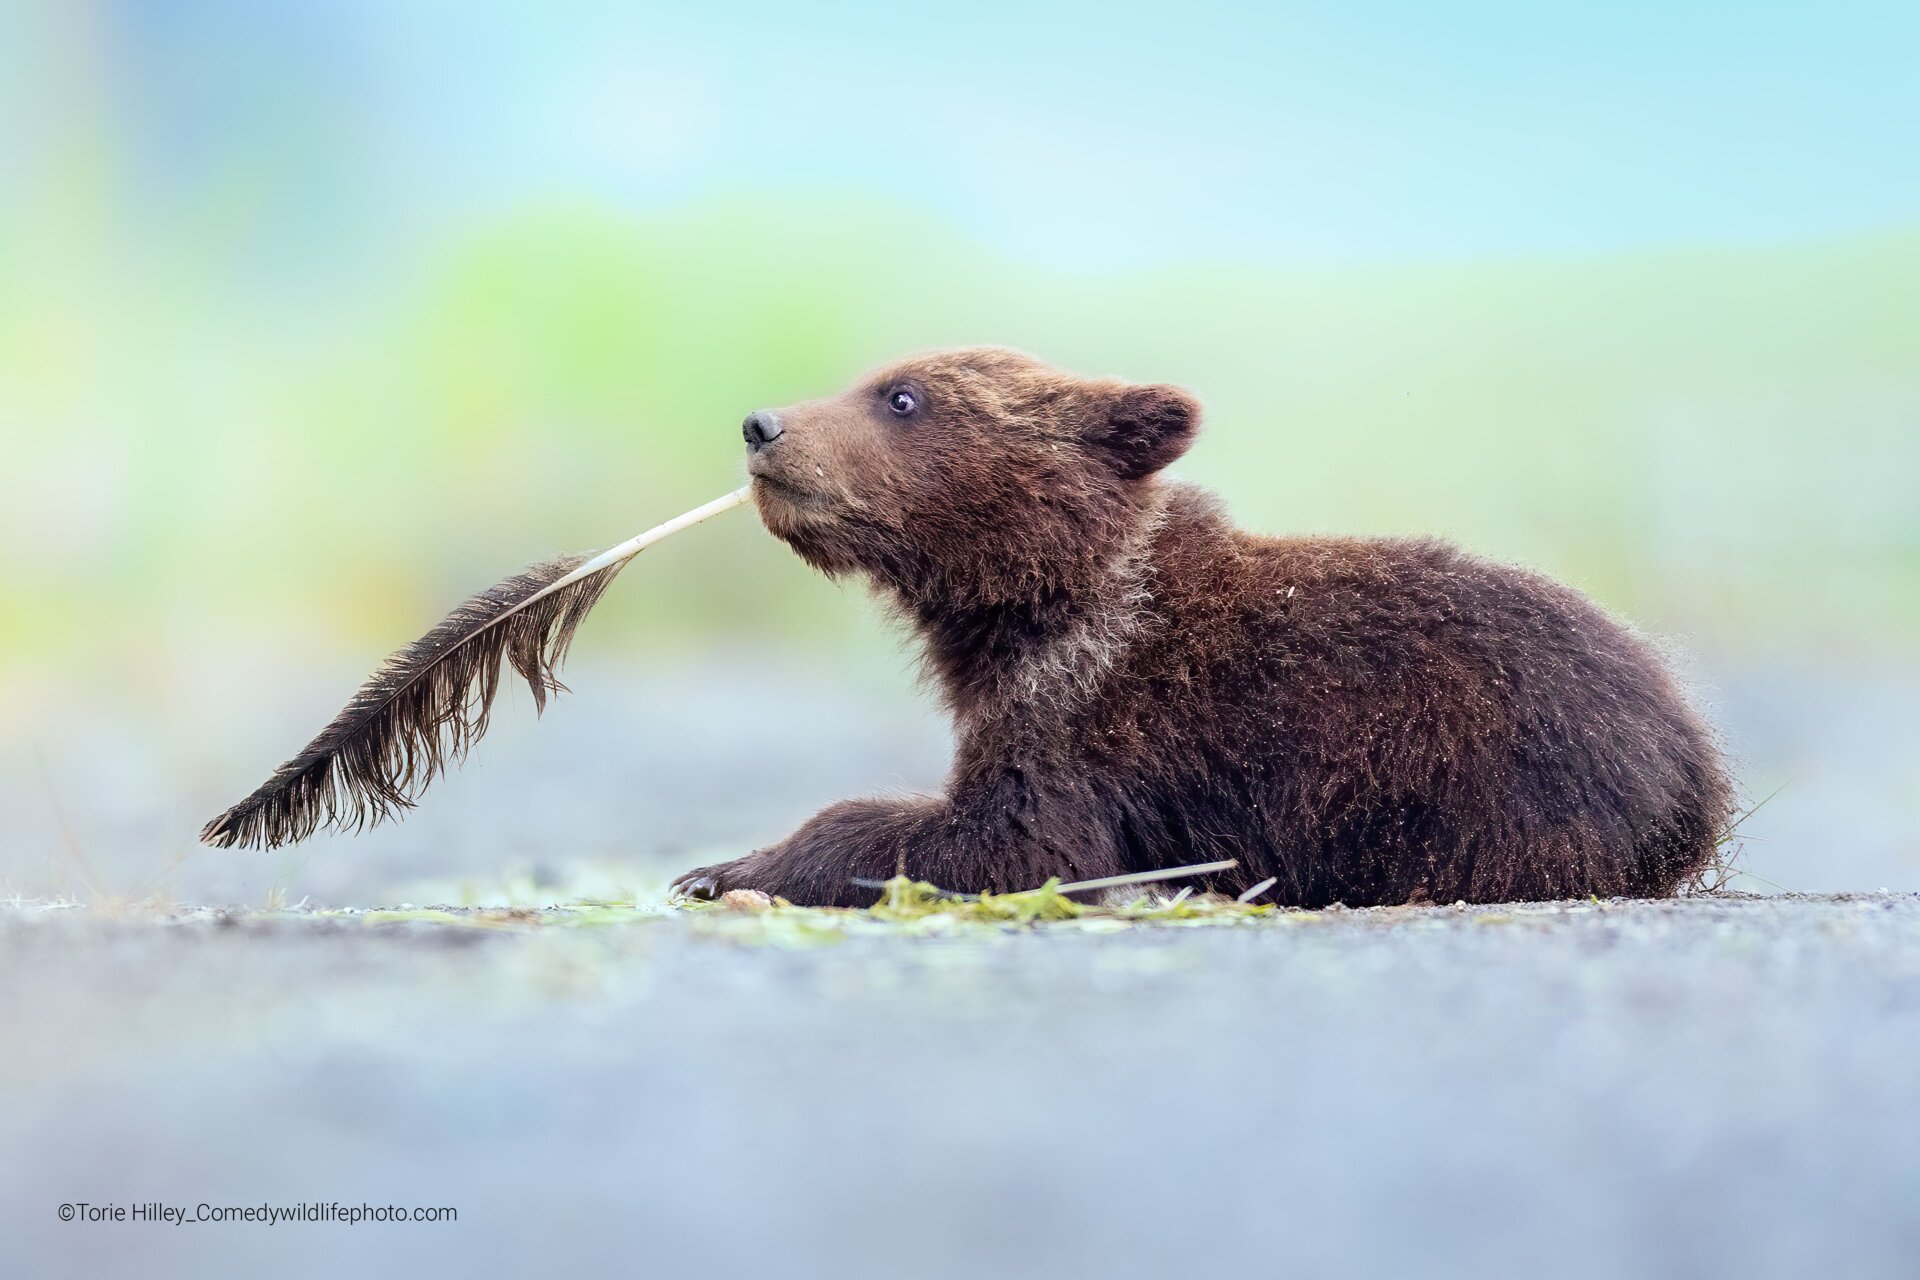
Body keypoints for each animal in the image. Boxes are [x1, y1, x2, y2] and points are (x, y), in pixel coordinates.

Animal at [672, 348, 1733, 908]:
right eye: (876, 379)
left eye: (903, 395)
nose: (763, 425)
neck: (1034, 602)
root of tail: (1695, 759)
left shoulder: (1089, 716)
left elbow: (1016, 840)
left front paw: (729, 866)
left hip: (1496, 771)